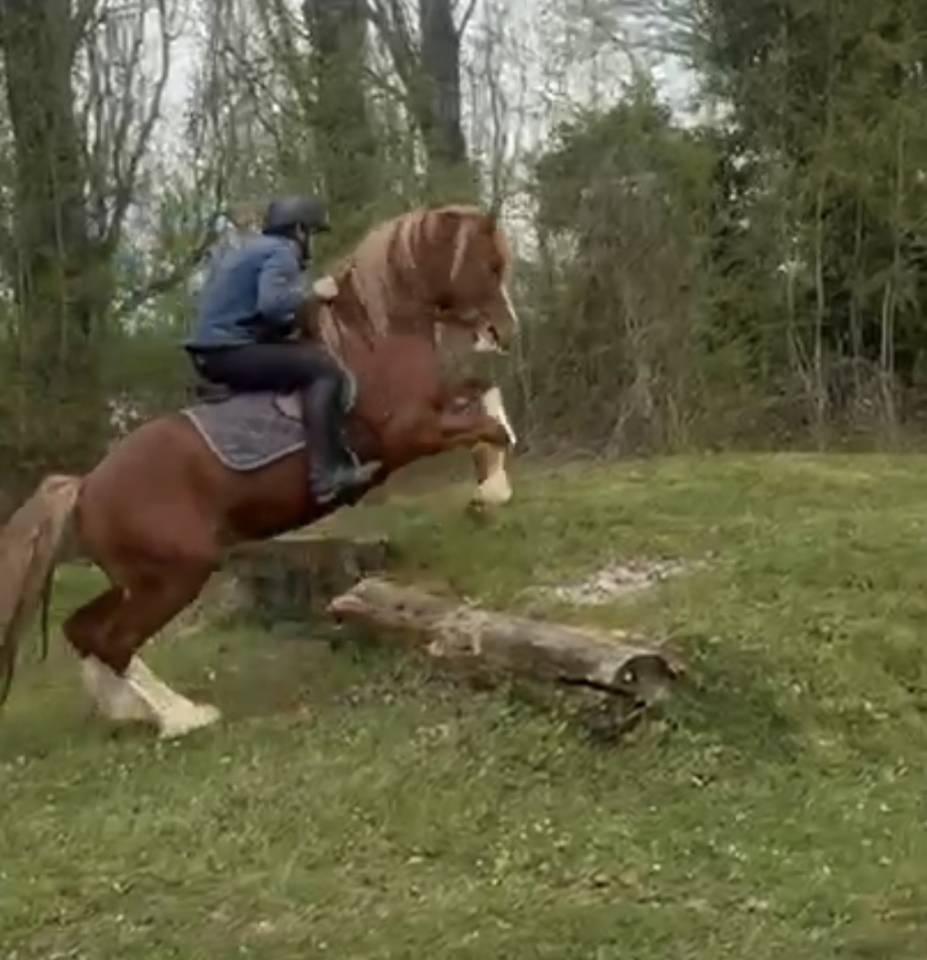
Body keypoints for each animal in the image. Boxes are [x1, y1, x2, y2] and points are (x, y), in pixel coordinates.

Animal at [0, 203, 520, 739]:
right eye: (490, 265)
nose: (505, 332)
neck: (373, 340)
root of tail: (85, 487)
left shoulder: (434, 410)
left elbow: (487, 400)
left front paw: (491, 487)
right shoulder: (411, 433)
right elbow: (487, 425)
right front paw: (493, 490)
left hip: (138, 578)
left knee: (85, 630)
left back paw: (129, 708)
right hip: (177, 574)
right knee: (114, 641)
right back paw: (182, 717)